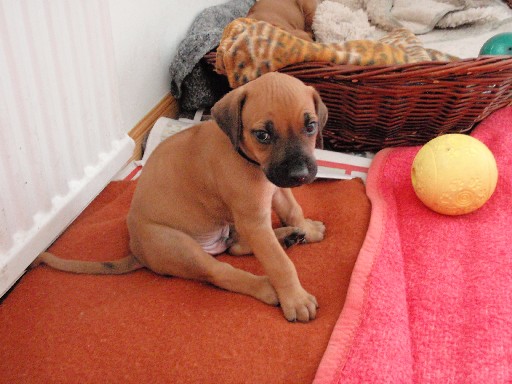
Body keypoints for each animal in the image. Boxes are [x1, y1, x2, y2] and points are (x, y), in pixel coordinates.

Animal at [33, 73, 328, 324]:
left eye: (311, 126)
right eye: (263, 135)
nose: (300, 175)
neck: (248, 159)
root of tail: (136, 252)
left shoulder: (276, 189)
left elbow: (293, 209)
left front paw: (305, 228)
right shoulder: (253, 219)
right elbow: (279, 263)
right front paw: (296, 299)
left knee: (235, 246)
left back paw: (288, 236)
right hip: (182, 247)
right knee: (221, 271)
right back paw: (266, 286)